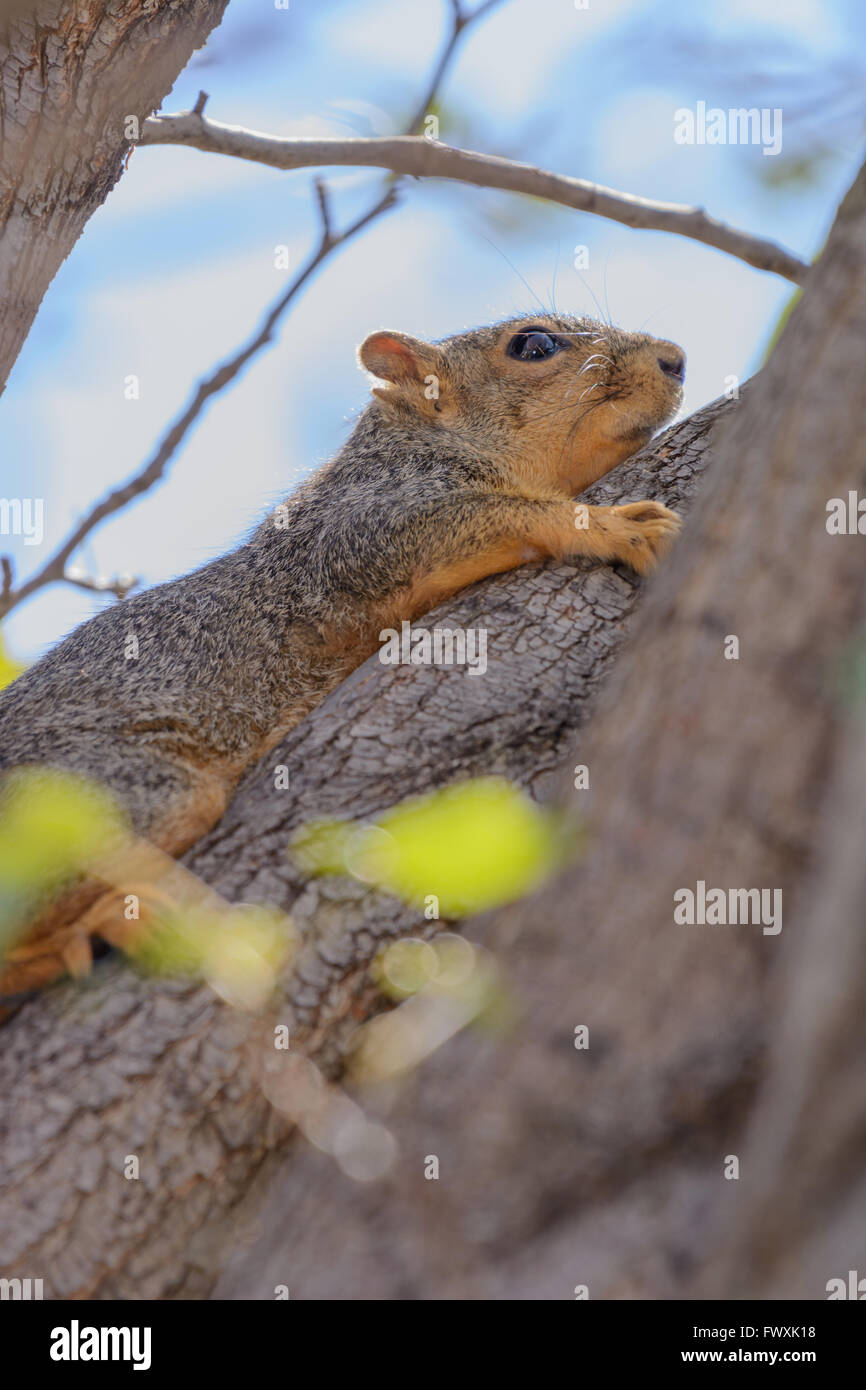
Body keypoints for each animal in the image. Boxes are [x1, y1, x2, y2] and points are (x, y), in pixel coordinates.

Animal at [0, 313, 684, 998]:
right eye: (534, 345)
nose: (675, 358)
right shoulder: (354, 531)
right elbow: (502, 514)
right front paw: (613, 525)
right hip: (110, 787)